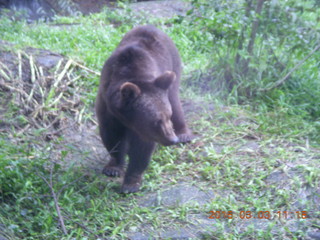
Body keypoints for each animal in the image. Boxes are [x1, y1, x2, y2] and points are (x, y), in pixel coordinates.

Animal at [95, 24, 192, 193]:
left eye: (167, 116)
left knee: (175, 101)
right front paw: (113, 167)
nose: (171, 139)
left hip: (172, 69)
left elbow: (142, 149)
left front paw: (131, 183)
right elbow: (112, 136)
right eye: (156, 121)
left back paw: (184, 134)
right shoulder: (107, 107)